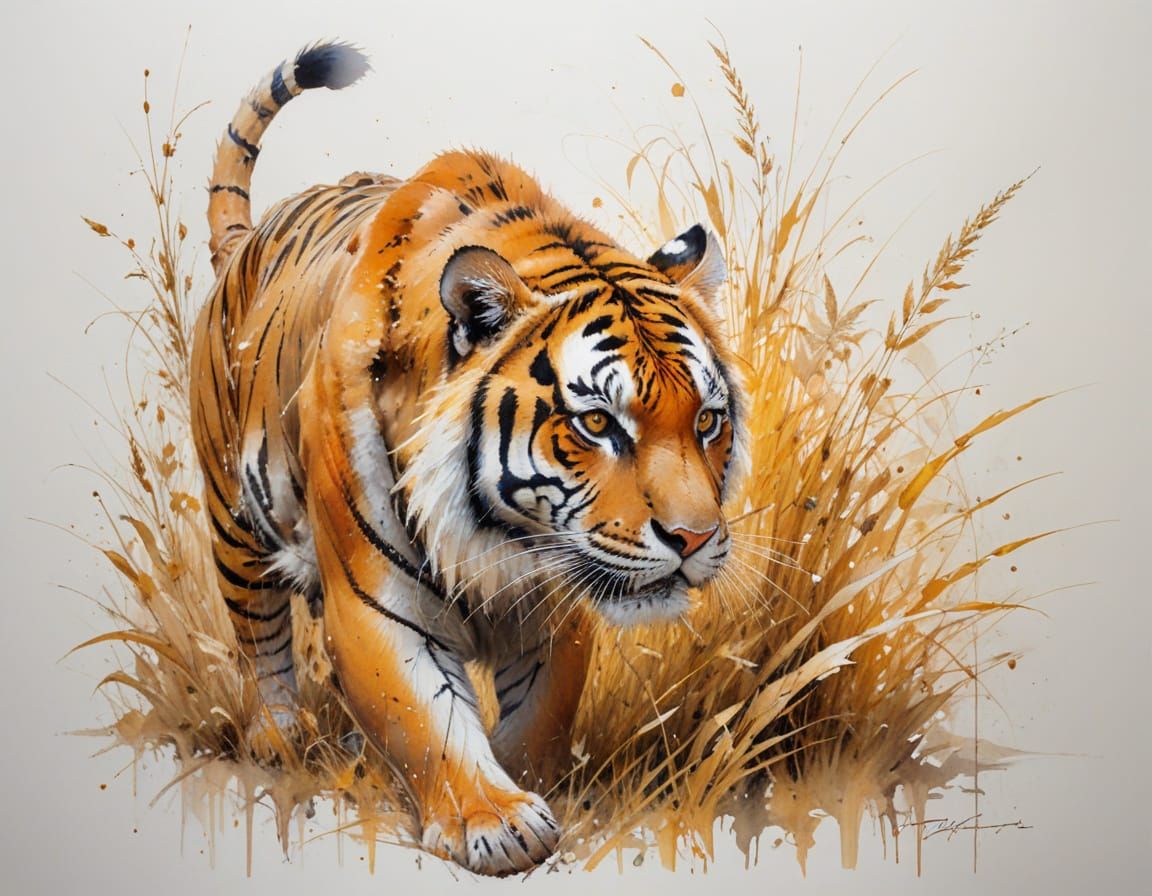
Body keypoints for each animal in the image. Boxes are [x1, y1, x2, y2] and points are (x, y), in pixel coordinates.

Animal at [191, 41, 748, 875]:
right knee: (260, 638)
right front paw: (494, 820)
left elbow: (539, 718)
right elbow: (428, 720)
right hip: (235, 521)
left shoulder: (560, 609)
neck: (502, 538)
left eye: (708, 420)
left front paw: (531, 784)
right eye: (597, 423)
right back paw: (279, 736)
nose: (694, 539)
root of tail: (245, 244)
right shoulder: (374, 599)